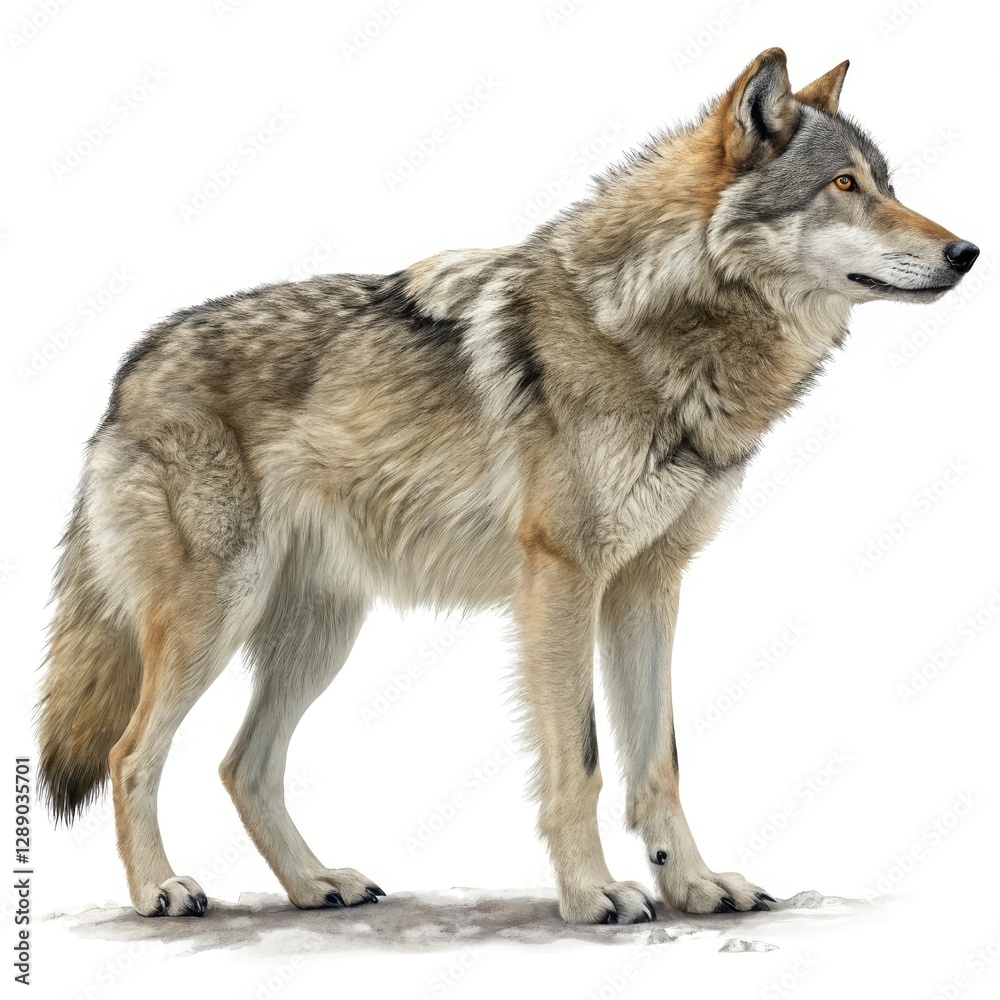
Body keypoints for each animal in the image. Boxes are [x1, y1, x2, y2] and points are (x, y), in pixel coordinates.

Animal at [38, 48, 978, 924]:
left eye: (888, 184)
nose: (966, 252)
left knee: (243, 765)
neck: (654, 326)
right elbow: (583, 761)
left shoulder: (648, 583)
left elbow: (659, 762)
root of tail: (130, 367)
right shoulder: (562, 580)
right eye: (845, 185)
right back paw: (159, 889)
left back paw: (314, 884)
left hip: (321, 635)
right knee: (131, 755)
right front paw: (594, 895)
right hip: (216, 618)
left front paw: (694, 886)